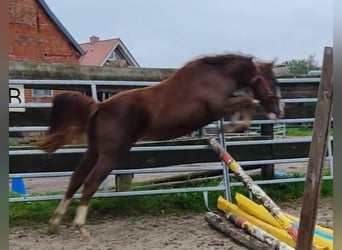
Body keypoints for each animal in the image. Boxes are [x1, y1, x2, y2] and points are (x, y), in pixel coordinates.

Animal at [38, 52, 282, 236]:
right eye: (272, 81)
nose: (277, 112)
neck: (215, 76)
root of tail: (101, 106)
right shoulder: (219, 106)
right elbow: (247, 101)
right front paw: (232, 127)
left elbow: (244, 102)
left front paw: (232, 125)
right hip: (111, 154)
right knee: (89, 183)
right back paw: (80, 226)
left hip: (94, 151)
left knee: (75, 179)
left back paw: (55, 222)